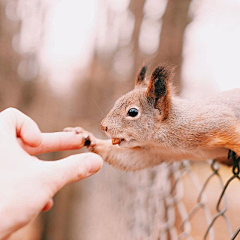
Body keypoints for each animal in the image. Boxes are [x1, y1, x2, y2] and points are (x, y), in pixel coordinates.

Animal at [64, 64, 240, 172]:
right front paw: (87, 136)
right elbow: (128, 158)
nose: (103, 127)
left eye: (132, 112)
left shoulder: (214, 123)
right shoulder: (154, 152)